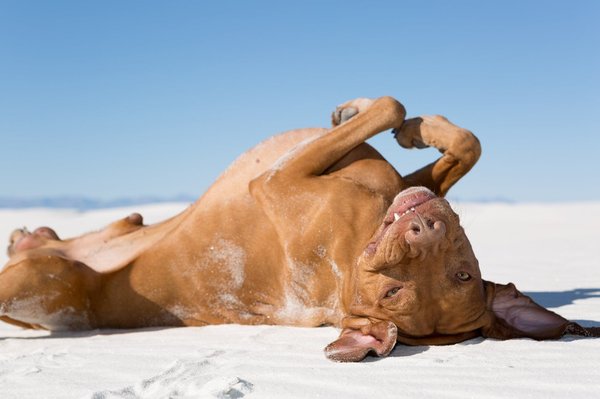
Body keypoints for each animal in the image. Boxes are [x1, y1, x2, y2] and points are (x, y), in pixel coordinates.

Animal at [0, 97, 596, 362]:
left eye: (394, 294)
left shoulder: (278, 178)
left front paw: (379, 115)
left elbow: (389, 106)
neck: (355, 253)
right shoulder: (391, 181)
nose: (422, 225)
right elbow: (464, 145)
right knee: (114, 223)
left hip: (37, 279)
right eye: (465, 274)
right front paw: (417, 130)